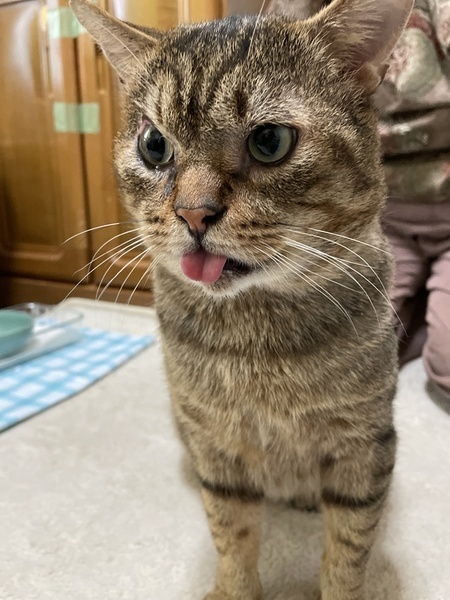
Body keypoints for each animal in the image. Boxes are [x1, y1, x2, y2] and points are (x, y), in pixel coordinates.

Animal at [70, 0, 413, 598]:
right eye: (153, 146)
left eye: (269, 140)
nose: (192, 213)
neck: (258, 338)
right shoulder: (216, 446)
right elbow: (230, 533)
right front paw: (232, 588)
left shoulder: (364, 444)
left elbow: (348, 549)